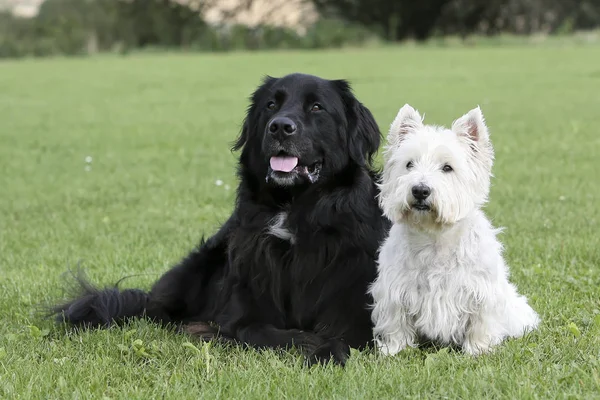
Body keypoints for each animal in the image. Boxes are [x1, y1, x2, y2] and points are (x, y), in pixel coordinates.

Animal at [54, 73, 392, 368]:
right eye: (271, 105)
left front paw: (325, 351)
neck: (293, 210)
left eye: (317, 107)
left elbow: (340, 338)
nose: (280, 127)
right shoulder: (243, 312)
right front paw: (308, 342)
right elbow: (265, 332)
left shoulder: (359, 315)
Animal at [368, 104, 540, 354]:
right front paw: (395, 349)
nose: (420, 190)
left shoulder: (482, 291)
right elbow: (396, 322)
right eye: (409, 164)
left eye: (447, 168)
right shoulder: (394, 290)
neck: (435, 237)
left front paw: (478, 350)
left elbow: (481, 322)